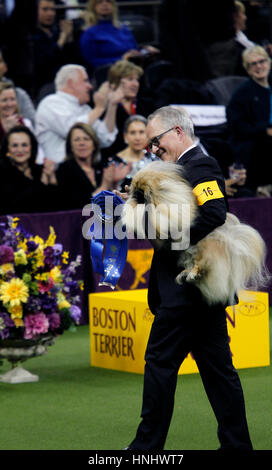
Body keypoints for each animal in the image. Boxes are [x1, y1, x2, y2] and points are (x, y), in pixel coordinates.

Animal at [121, 160, 270, 306]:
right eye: (134, 191)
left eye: (140, 191)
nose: (132, 193)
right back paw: (185, 274)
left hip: (201, 248)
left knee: (200, 263)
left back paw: (192, 274)